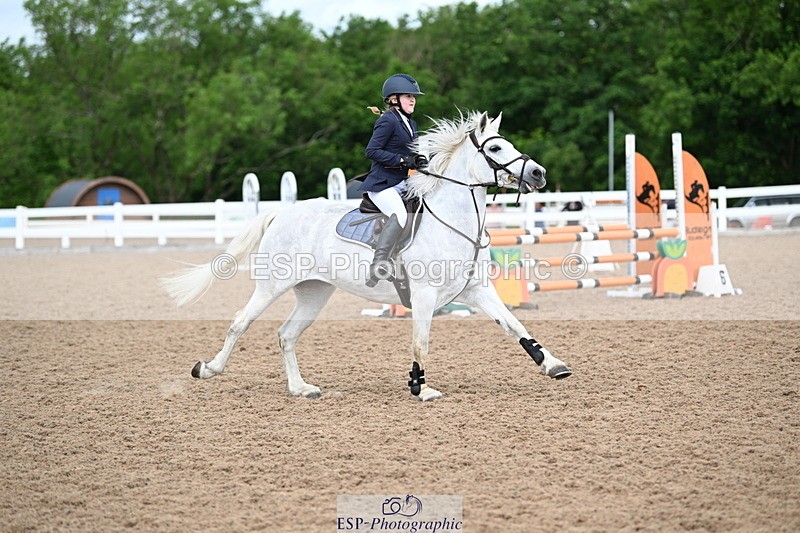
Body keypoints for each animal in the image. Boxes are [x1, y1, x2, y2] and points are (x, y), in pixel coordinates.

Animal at [161, 111, 572, 401]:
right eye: (496, 149)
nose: (539, 173)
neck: (452, 220)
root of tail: (283, 212)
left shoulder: (477, 291)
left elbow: (515, 326)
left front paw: (553, 365)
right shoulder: (425, 296)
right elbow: (421, 341)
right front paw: (422, 388)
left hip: (314, 292)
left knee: (286, 334)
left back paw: (300, 388)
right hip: (272, 285)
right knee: (240, 323)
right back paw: (207, 369)